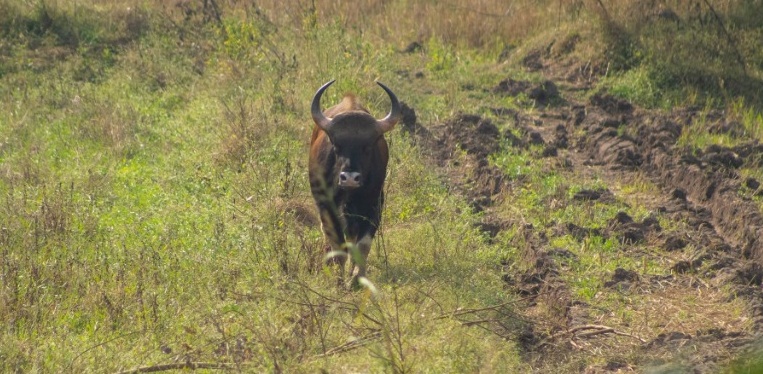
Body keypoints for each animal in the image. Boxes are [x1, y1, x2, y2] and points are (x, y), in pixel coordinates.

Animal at [310, 80, 406, 284]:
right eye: (337, 146)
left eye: (367, 146)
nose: (350, 178)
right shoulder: (327, 206)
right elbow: (338, 245)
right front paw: (338, 279)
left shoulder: (374, 205)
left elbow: (362, 245)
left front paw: (356, 278)